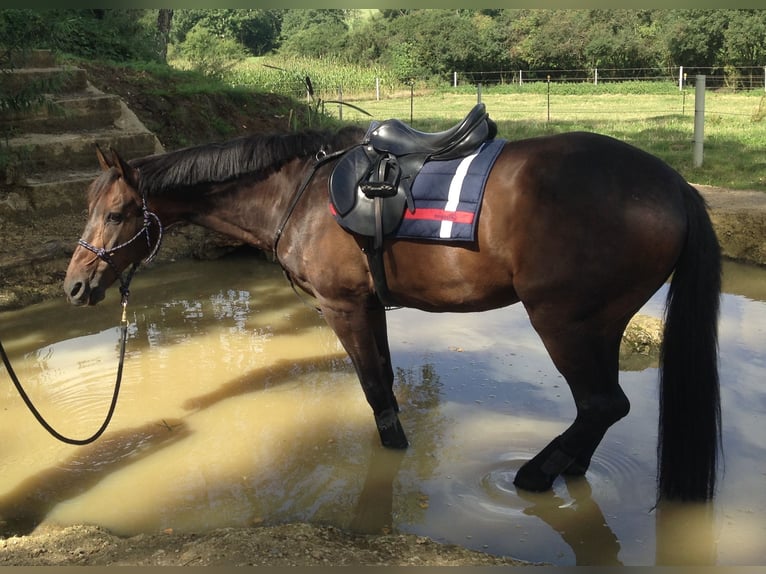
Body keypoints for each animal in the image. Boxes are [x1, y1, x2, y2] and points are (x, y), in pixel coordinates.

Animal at [63, 125, 724, 504]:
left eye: (117, 213)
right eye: (91, 209)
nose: (74, 285)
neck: (299, 196)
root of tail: (674, 186)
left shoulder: (345, 307)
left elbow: (376, 389)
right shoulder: (371, 307)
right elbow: (383, 384)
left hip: (564, 321)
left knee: (603, 404)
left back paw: (538, 474)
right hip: (600, 324)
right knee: (599, 408)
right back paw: (569, 467)